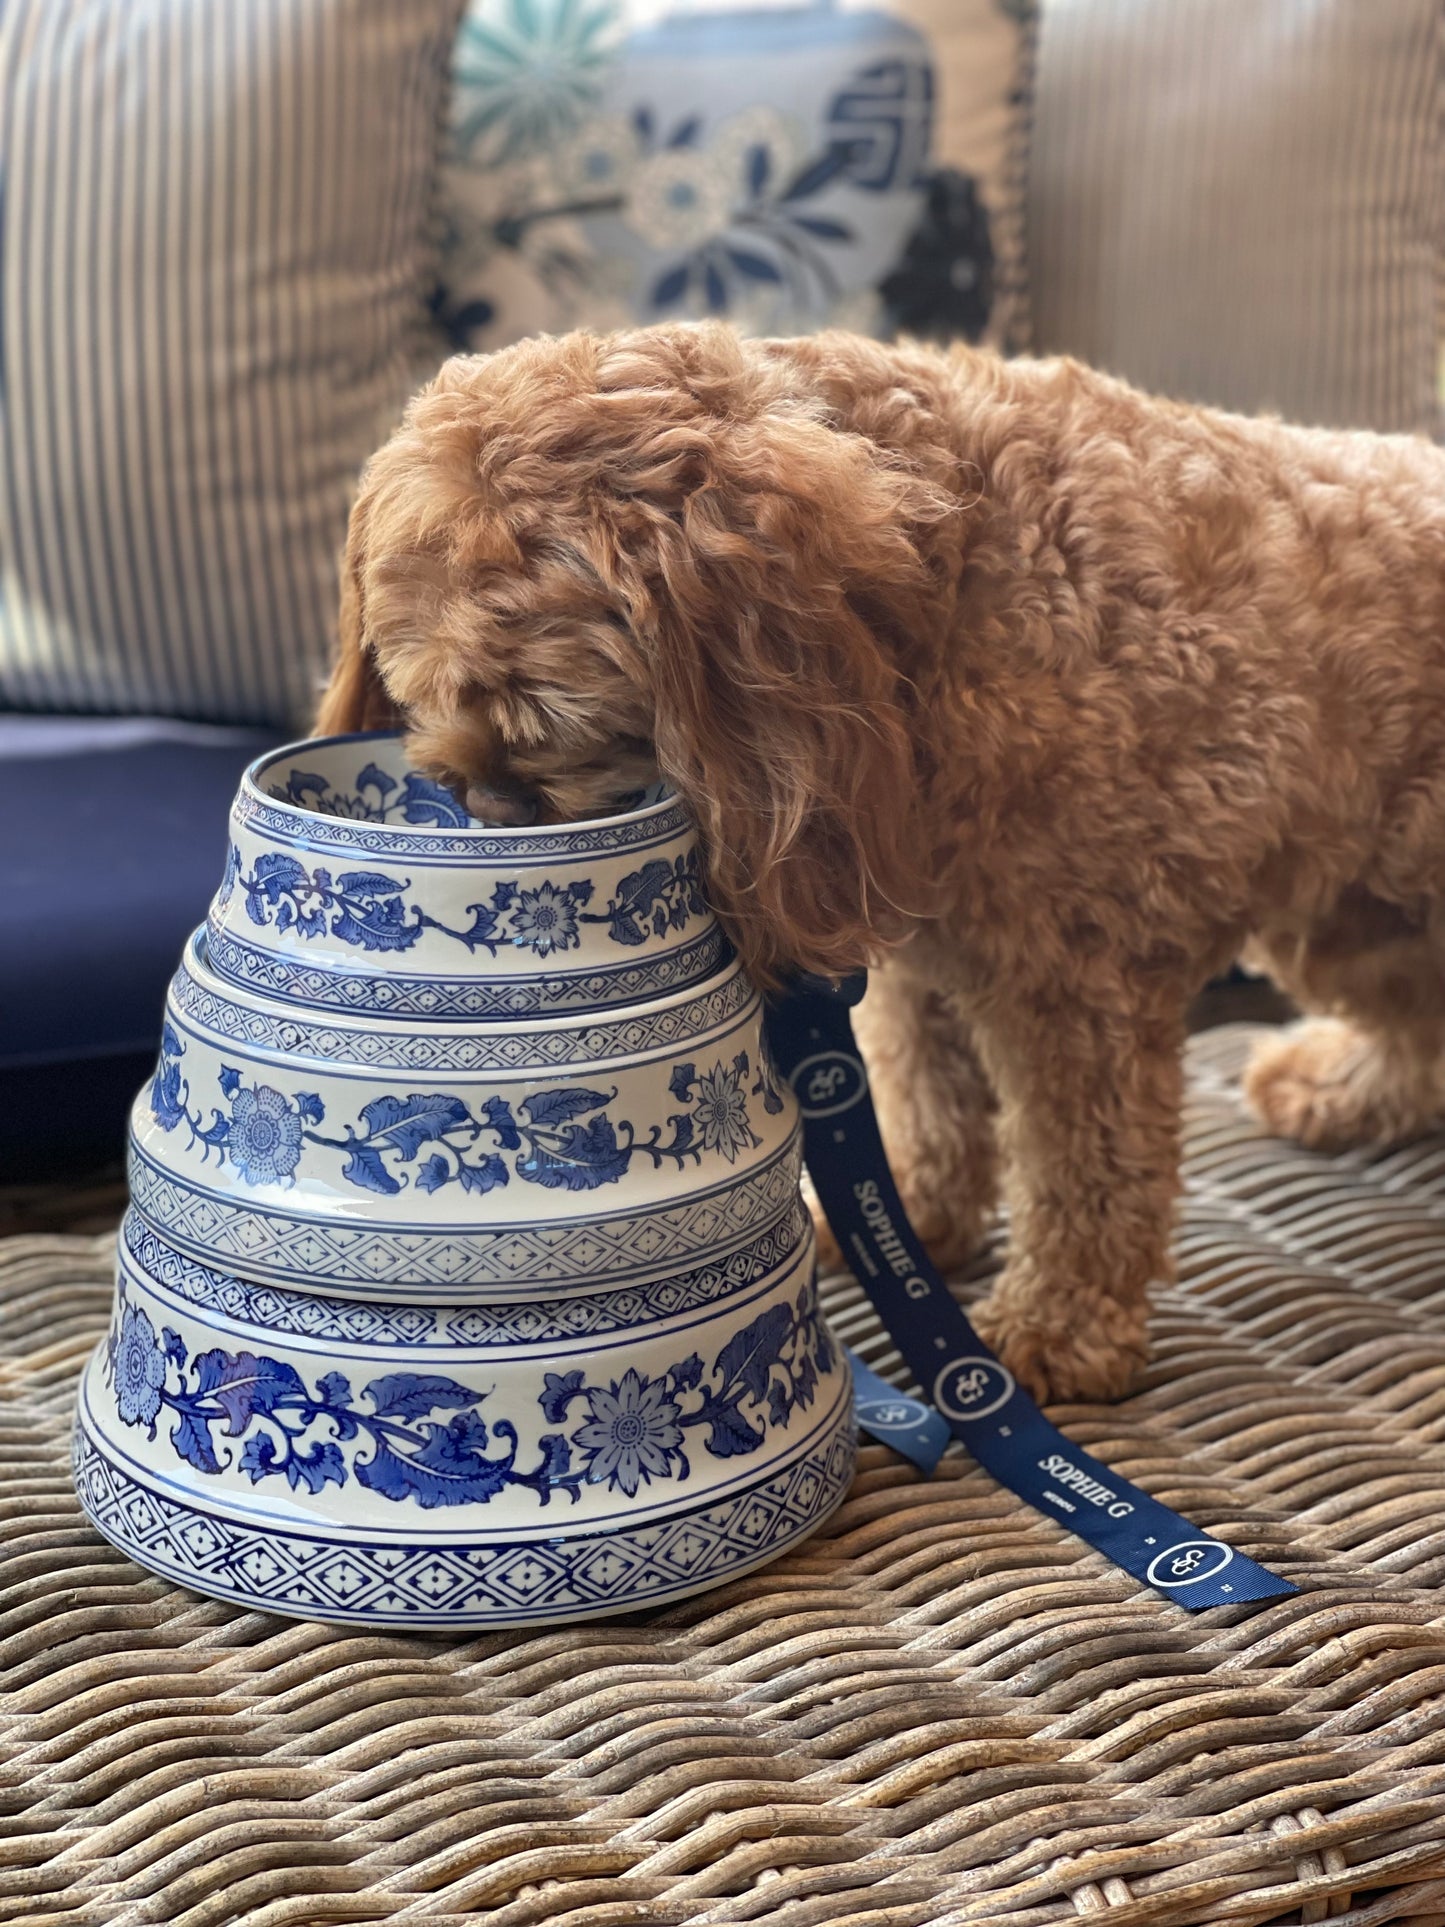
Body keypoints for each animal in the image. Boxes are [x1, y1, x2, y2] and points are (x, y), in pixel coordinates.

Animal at [315, 316, 1445, 1402]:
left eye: (541, 713)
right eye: (423, 698)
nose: (484, 804)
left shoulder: (1077, 983)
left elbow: (1086, 1169)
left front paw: (1060, 1328)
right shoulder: (923, 960)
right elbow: (931, 1103)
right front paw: (918, 1226)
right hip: (1355, 917)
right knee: (1417, 1030)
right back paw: (1336, 1089)